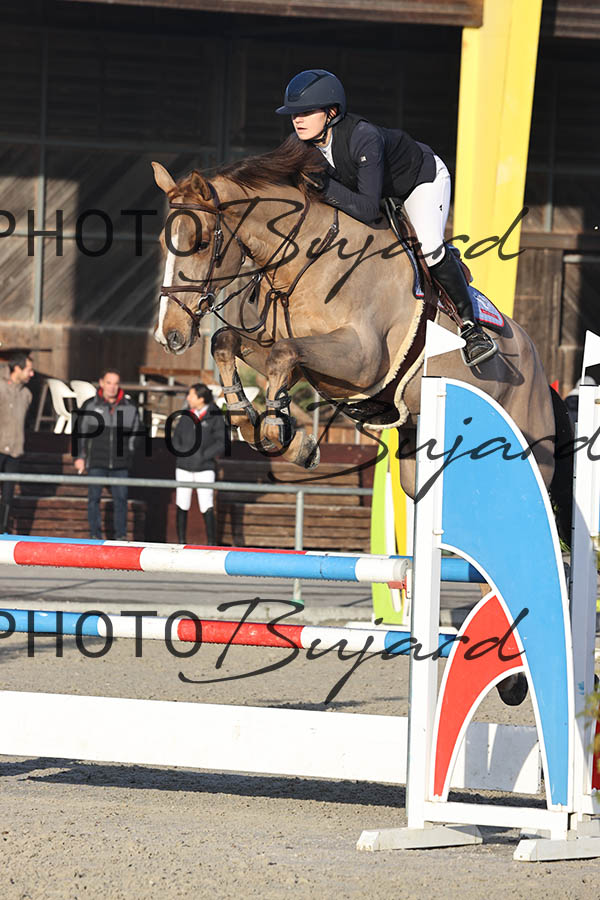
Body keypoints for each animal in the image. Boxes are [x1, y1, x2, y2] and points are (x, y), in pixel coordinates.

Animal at [151, 140, 570, 535]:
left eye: (202, 243)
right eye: (161, 242)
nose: (168, 335)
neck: (311, 259)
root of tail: (539, 368)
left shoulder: (362, 361)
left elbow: (282, 355)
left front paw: (281, 435)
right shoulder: (306, 359)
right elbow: (228, 342)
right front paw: (257, 425)